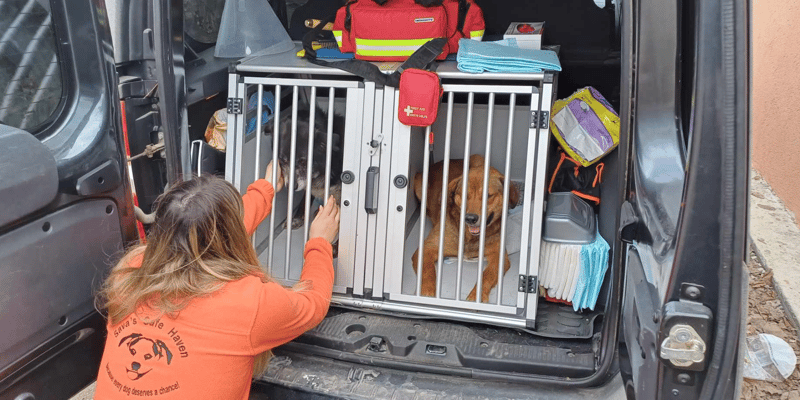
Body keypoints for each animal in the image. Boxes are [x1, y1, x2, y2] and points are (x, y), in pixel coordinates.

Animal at [412, 155, 520, 302]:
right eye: (463, 195)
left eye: (488, 196)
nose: (470, 218)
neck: (470, 237)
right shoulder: (427, 248)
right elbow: (428, 272)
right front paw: (426, 294)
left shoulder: (499, 256)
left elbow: (486, 276)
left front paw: (476, 297)